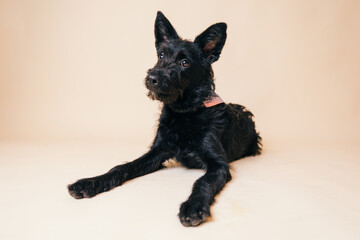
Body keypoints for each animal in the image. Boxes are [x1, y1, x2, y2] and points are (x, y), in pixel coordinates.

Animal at [67, 11, 260, 227]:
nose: (152, 78)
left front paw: (193, 206)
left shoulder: (218, 164)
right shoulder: (157, 152)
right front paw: (90, 182)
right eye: (160, 55)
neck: (185, 112)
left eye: (184, 62)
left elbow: (202, 182)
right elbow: (122, 166)